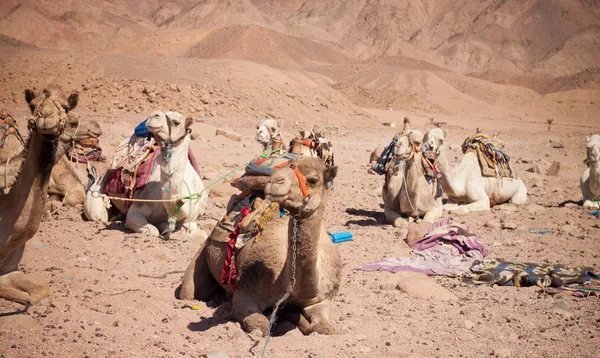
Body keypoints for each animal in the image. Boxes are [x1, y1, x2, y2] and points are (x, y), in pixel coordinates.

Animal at [83, 110, 207, 239]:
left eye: (176, 122)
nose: (155, 115)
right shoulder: (137, 208)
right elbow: (153, 230)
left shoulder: (191, 219)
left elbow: (199, 232)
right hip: (97, 192)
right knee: (98, 215)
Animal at [177, 157, 342, 336]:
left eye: (313, 180)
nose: (276, 181)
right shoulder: (246, 292)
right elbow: (260, 325)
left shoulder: (319, 299)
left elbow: (324, 327)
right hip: (202, 253)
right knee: (188, 292)